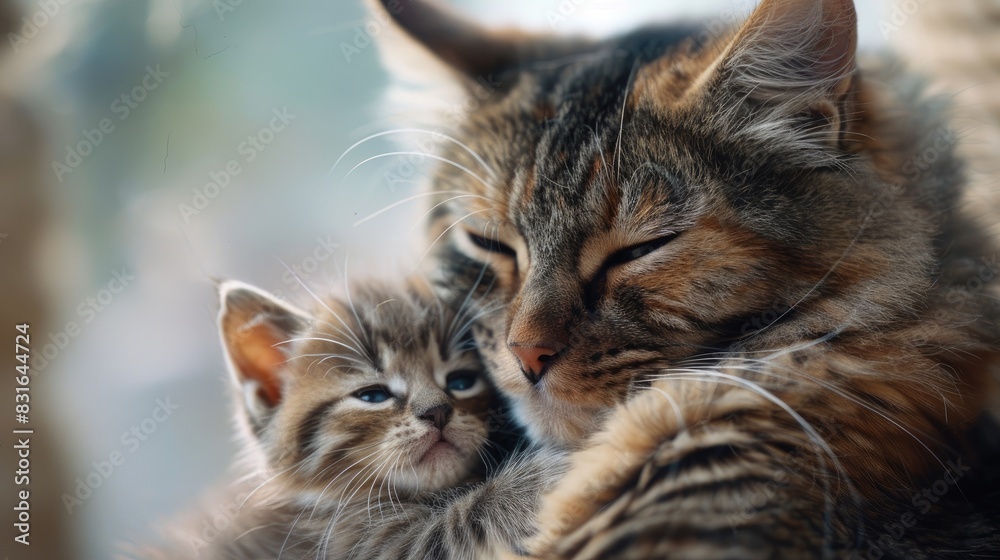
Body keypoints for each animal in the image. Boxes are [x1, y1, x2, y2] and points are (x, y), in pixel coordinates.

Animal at [139, 278, 564, 556]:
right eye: (372, 395)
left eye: (461, 381)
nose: (438, 411)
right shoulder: (367, 545)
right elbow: (457, 523)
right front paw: (543, 475)